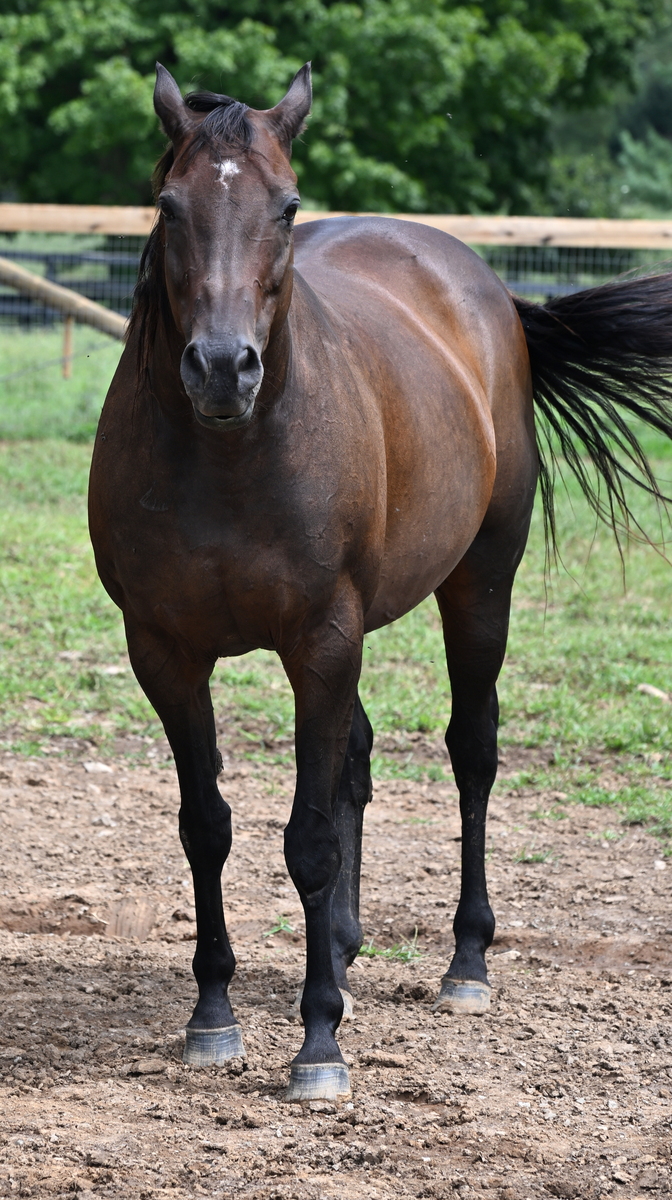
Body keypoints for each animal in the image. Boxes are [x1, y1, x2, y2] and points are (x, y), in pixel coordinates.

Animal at [89, 62, 672, 1102]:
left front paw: (319, 1044)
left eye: (286, 207)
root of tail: (485, 289)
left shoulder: (321, 638)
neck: (227, 458)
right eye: (167, 205)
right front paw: (214, 1016)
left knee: (472, 751)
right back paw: (348, 952)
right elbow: (208, 826)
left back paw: (465, 965)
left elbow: (311, 839)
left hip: (480, 584)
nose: (224, 369)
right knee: (356, 758)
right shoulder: (165, 651)